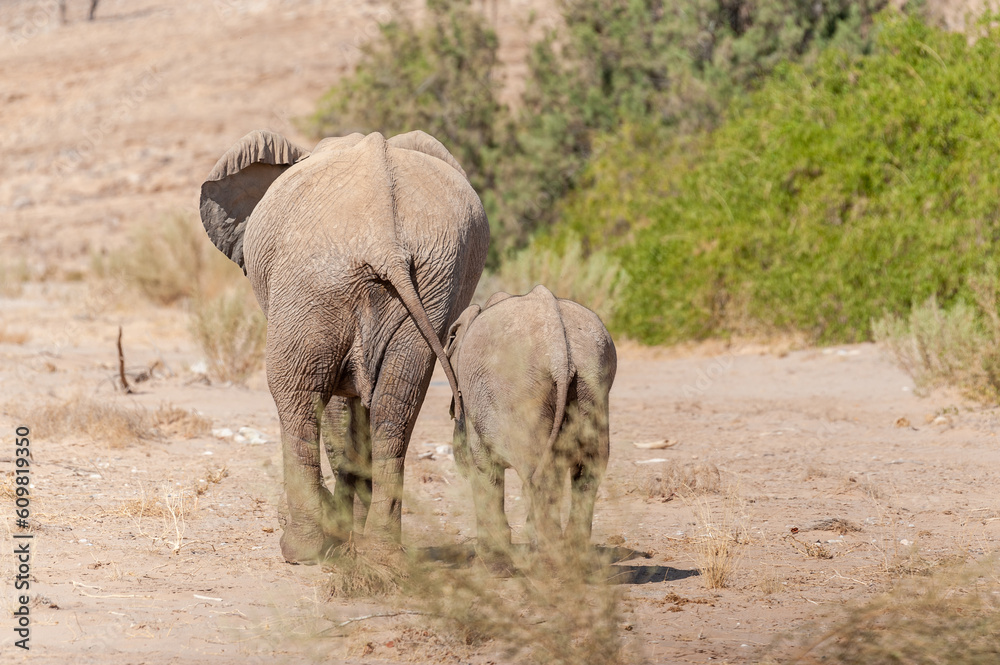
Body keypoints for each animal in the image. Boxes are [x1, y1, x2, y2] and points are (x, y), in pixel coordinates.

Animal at [199, 129, 489, 564]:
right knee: (395, 407)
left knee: (296, 395)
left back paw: (301, 548)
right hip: (432, 283)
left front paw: (340, 530)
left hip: (313, 284)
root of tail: (385, 240)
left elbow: (335, 403)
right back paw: (381, 552)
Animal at [443, 285, 617, 561]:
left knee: (539, 475)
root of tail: (559, 354)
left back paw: (547, 560)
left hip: (519, 392)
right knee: (589, 468)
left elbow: (482, 465)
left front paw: (490, 559)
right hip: (593, 383)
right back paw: (571, 558)